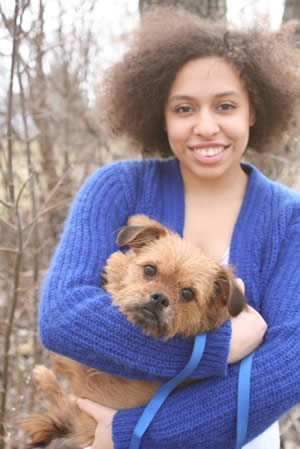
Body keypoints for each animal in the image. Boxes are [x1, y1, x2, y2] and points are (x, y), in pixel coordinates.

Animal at [22, 215, 246, 446]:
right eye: (149, 270)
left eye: (187, 293)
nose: (160, 298)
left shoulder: (97, 388)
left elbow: (68, 367)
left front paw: (116, 265)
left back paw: (43, 376)